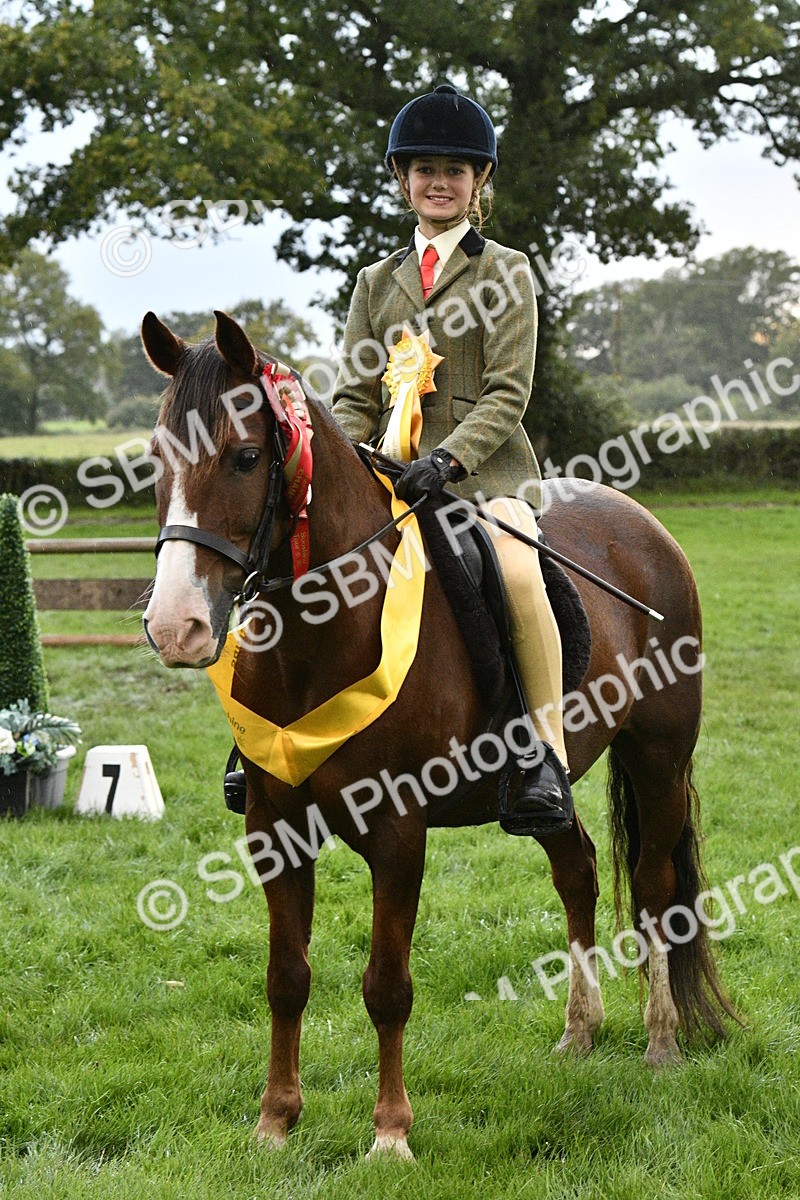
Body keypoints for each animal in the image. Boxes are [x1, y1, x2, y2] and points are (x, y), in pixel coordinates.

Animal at [140, 309, 736, 1160]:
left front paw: (391, 1133)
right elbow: (286, 977)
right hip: (552, 785)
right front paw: (275, 1122)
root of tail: (645, 529)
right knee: (579, 871)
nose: (175, 626)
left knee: (655, 888)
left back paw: (659, 1043)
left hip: (657, 756)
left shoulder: (398, 831)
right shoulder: (273, 828)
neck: (321, 632)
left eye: (246, 456)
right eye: (156, 460)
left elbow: (387, 986)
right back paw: (579, 1032)